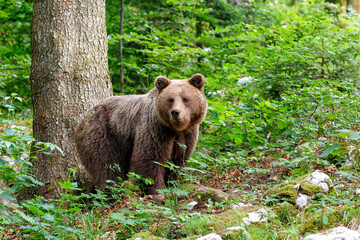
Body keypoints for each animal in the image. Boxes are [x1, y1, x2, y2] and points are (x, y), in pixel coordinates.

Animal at [74, 73, 207, 195]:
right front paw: (157, 191)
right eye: (170, 99)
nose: (175, 112)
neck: (175, 129)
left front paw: (174, 185)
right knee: (106, 166)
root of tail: (84, 119)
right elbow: (150, 158)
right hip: (102, 132)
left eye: (185, 99)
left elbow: (179, 161)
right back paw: (111, 193)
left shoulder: (186, 135)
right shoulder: (155, 129)